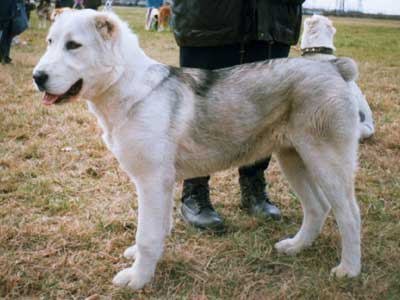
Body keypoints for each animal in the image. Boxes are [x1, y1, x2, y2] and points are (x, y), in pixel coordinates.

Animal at [32, 10, 362, 290]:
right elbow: (158, 229)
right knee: (317, 207)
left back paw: (349, 269)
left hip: (327, 163)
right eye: (50, 42)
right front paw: (141, 261)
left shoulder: (152, 181)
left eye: (73, 45)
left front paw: (137, 279)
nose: (37, 77)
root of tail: (333, 67)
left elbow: (147, 234)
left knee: (349, 215)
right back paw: (296, 246)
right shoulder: (162, 184)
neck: (129, 89)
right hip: (293, 159)